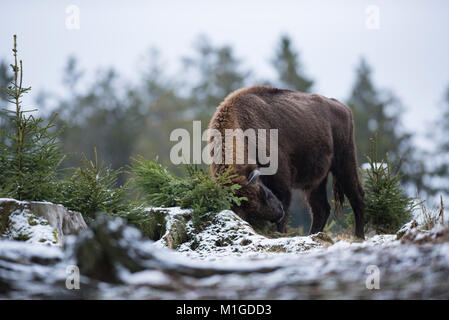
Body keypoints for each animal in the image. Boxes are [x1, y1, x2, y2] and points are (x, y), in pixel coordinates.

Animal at [208, 85, 366, 240]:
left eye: (263, 193)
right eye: (248, 212)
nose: (279, 213)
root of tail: (344, 109)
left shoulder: (281, 179)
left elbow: (285, 200)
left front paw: (281, 233)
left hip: (345, 162)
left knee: (357, 196)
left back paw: (359, 236)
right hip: (316, 181)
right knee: (321, 209)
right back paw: (313, 235)